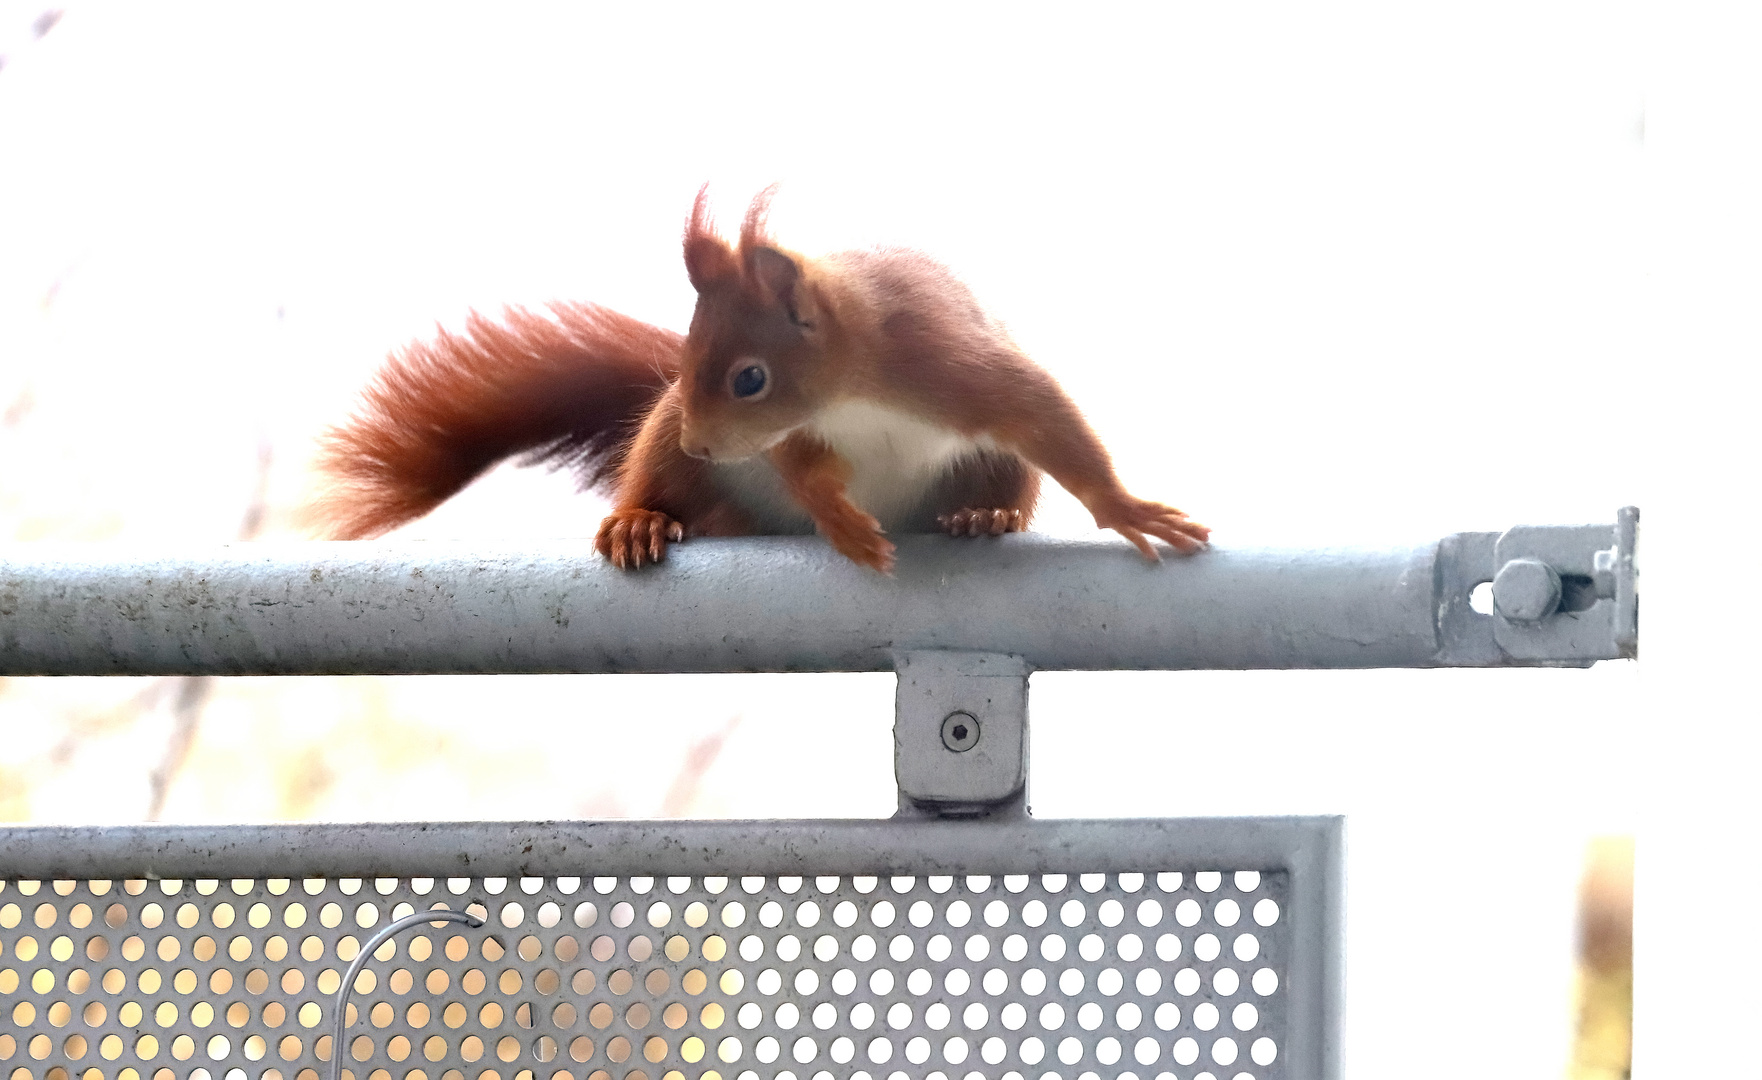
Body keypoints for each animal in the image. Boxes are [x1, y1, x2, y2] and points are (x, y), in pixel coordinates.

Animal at [310, 187, 1205, 574]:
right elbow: (803, 468)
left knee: (1010, 480)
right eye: (687, 352)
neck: (857, 386)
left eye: (750, 379)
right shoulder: (797, 435)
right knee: (664, 489)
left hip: (988, 461)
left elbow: (1049, 421)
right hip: (677, 462)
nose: (705, 443)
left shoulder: (957, 368)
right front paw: (842, 524)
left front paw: (1132, 512)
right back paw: (643, 522)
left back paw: (984, 515)